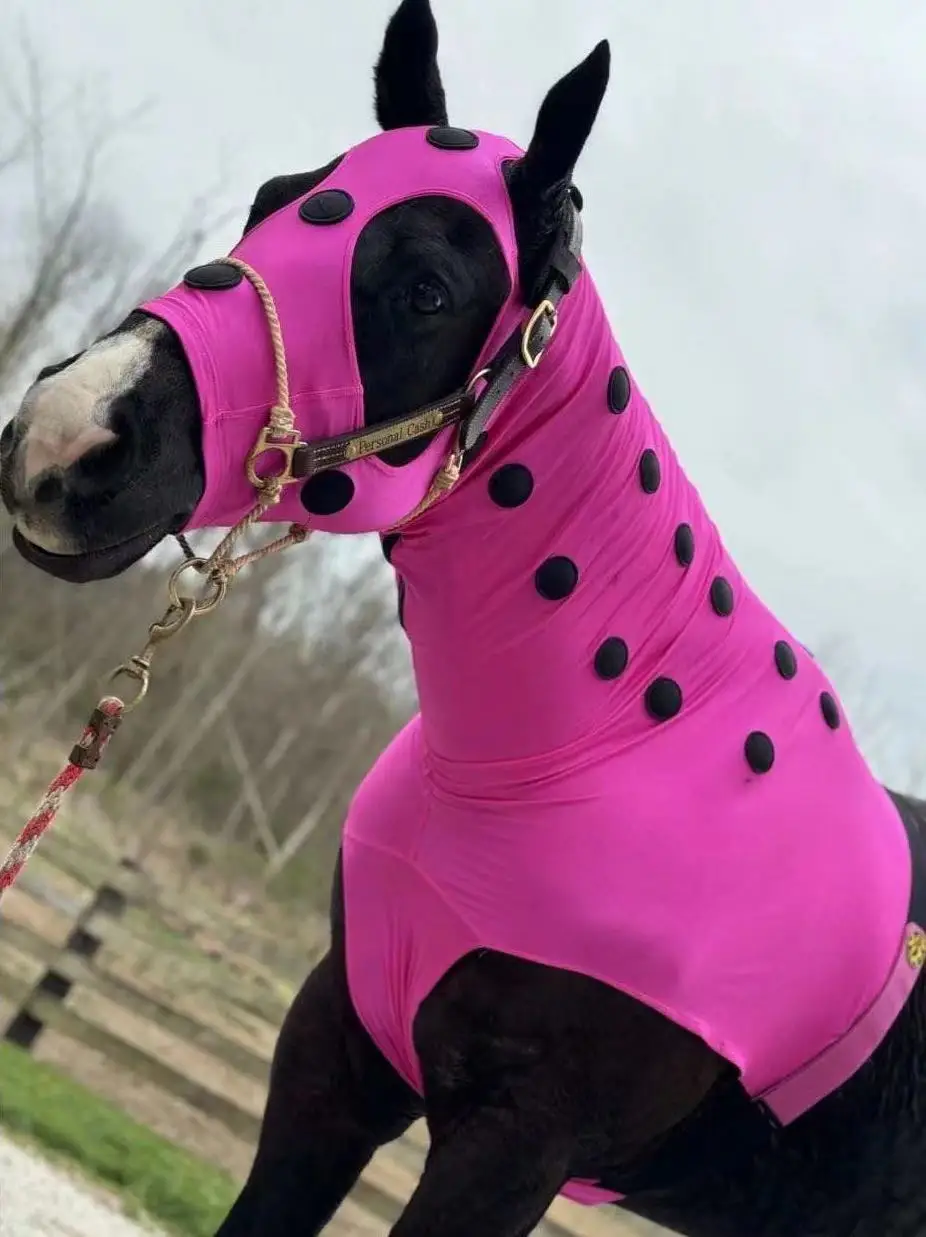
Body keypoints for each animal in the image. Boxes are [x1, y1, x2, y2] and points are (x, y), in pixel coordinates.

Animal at [3, 3, 926, 1234]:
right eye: (273, 198)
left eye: (427, 291)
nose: (67, 439)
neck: (606, 742)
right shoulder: (335, 1056)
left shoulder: (510, 1149)